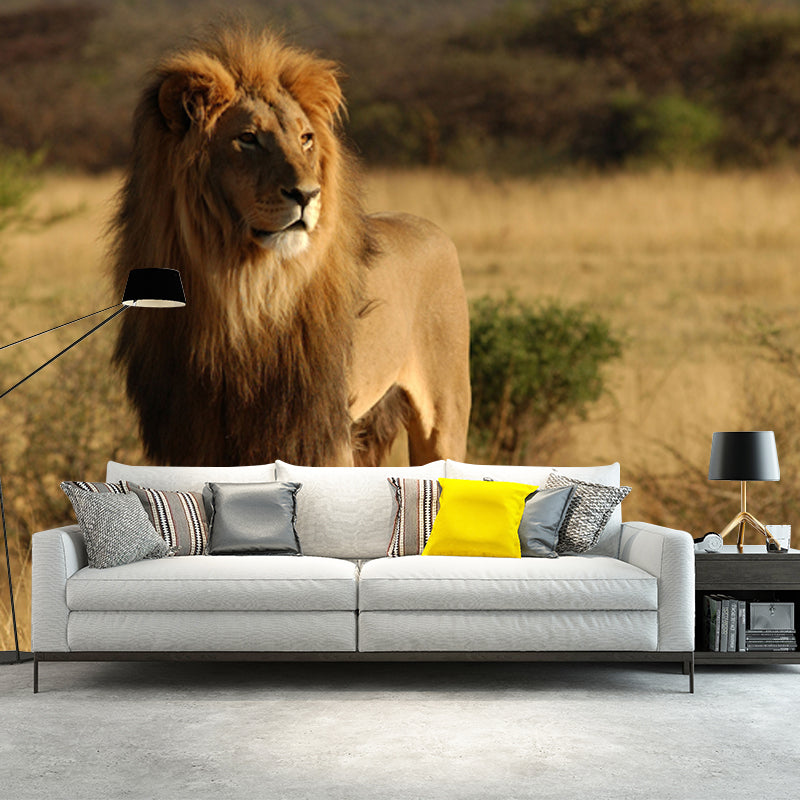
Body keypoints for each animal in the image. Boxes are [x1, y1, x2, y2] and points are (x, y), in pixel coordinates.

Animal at [110, 26, 470, 467]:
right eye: (248, 139)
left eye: (305, 139)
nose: (307, 194)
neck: (242, 291)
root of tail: (428, 225)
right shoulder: (194, 441)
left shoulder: (319, 434)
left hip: (443, 417)